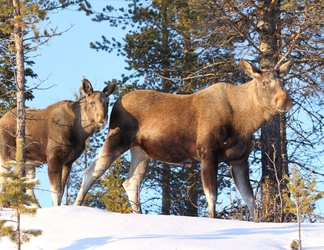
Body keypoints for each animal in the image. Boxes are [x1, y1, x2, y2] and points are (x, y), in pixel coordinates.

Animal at [75, 59, 294, 219]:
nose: (285, 102)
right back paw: (76, 206)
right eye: (264, 83)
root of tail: (116, 103)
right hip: (117, 138)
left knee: (131, 182)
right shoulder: (208, 152)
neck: (245, 122)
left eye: (284, 83)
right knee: (92, 171)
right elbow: (211, 196)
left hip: (141, 151)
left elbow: (250, 200)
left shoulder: (239, 159)